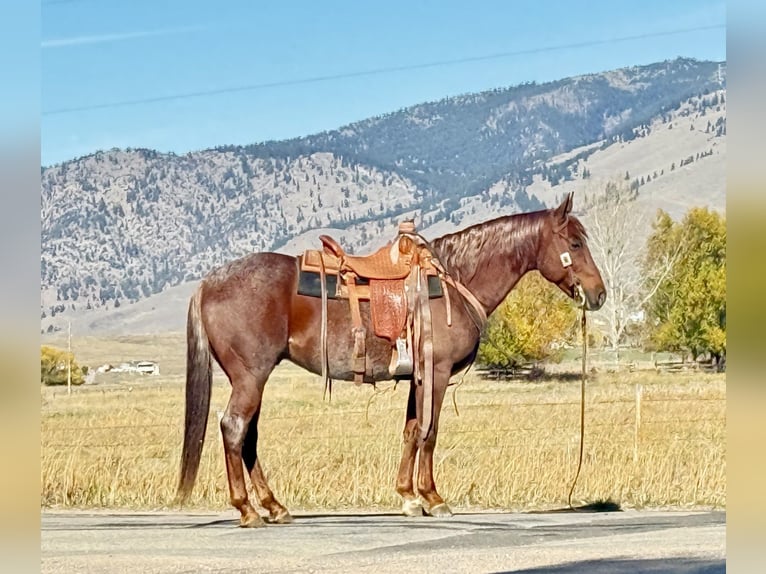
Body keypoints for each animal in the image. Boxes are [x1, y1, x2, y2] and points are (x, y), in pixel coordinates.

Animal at [176, 192, 606, 526]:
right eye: (575, 243)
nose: (599, 294)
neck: (454, 281)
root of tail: (208, 283)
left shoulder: (418, 377)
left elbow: (411, 431)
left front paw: (409, 497)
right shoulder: (436, 373)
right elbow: (430, 433)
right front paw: (434, 499)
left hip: (254, 379)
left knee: (248, 436)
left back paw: (273, 506)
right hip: (251, 376)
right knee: (234, 429)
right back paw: (247, 509)